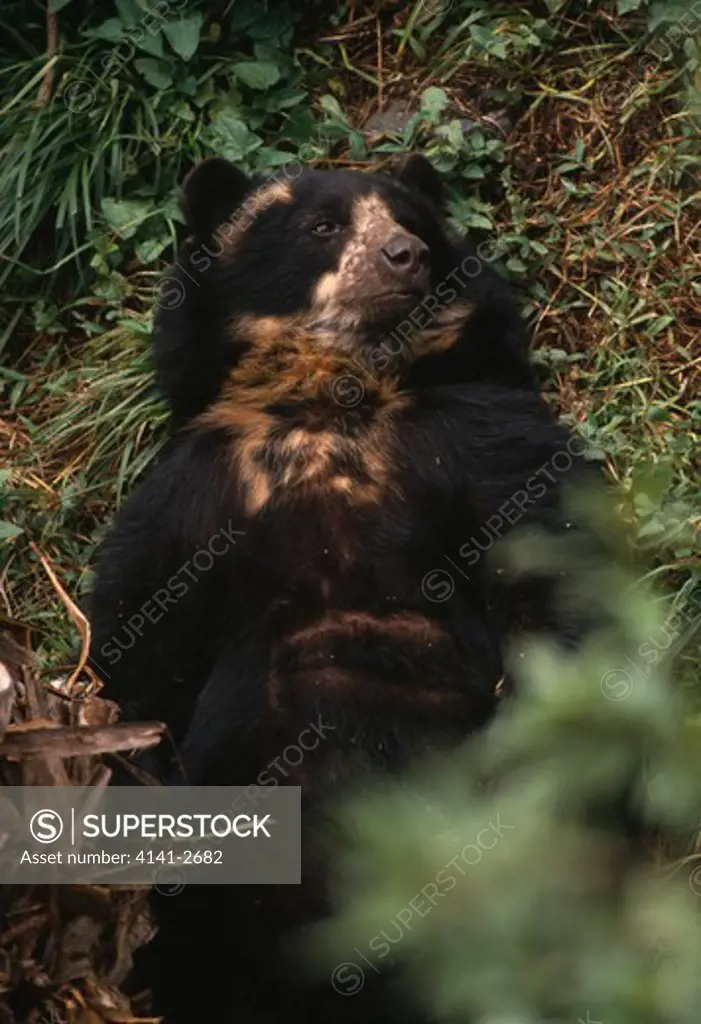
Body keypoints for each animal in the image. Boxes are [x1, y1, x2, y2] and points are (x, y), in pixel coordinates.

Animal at [87, 151, 597, 1024]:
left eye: (410, 222)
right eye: (323, 227)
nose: (405, 257)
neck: (333, 391)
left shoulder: (465, 430)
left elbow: (546, 550)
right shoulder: (200, 486)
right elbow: (135, 632)